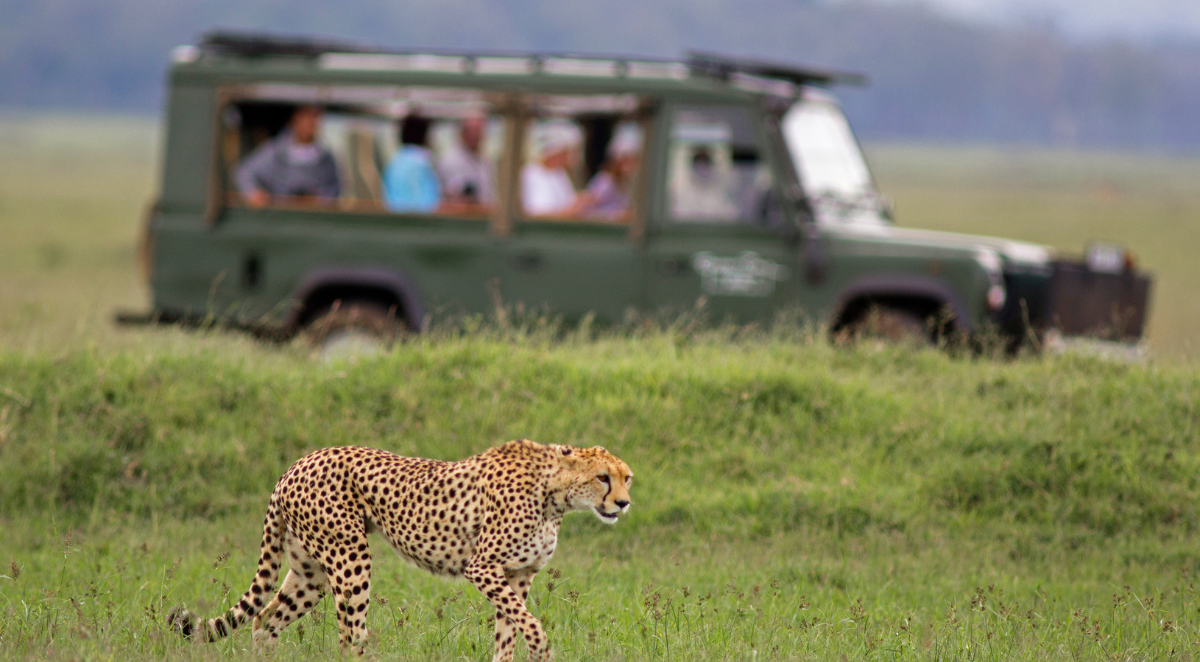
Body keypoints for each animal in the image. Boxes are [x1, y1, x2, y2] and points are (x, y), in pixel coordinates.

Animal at [167, 439, 633, 661]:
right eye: (603, 478)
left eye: (627, 478)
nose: (625, 503)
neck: (556, 494)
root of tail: (296, 464)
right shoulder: (484, 568)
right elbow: (530, 625)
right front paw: (543, 650)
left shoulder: (517, 576)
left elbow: (508, 634)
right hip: (350, 558)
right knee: (349, 636)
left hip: (310, 572)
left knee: (264, 621)